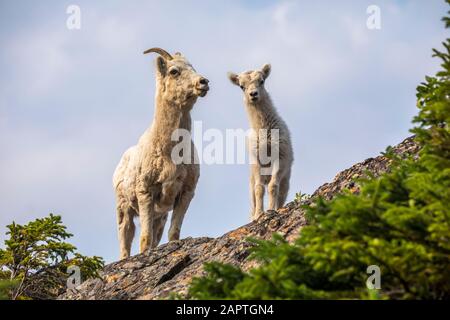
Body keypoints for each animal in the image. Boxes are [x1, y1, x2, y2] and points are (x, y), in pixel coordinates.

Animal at [114, 49, 209, 260]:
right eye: (174, 71)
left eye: (193, 67)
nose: (203, 82)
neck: (170, 153)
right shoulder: (145, 193)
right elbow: (145, 240)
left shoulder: (185, 194)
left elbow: (173, 234)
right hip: (124, 209)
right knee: (125, 238)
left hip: (160, 217)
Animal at [229, 64, 292, 221]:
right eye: (241, 86)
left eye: (262, 81)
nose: (253, 94)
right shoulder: (256, 161)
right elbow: (259, 189)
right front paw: (259, 215)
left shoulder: (279, 157)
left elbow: (272, 187)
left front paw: (271, 210)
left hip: (286, 180)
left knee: (281, 194)